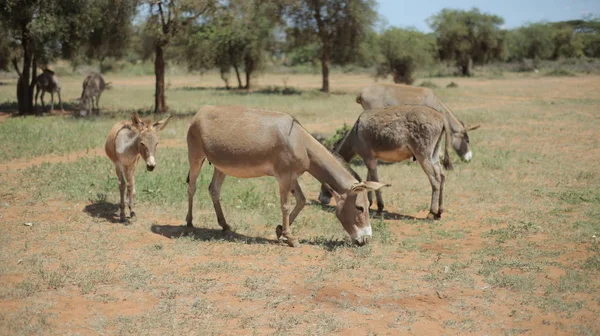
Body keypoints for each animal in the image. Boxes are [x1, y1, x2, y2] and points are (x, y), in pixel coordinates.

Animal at [185, 105, 386, 247]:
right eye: (360, 208)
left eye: (368, 206)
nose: (365, 240)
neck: (301, 142)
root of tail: (201, 111)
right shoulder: (284, 176)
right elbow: (286, 206)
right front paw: (291, 238)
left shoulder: (292, 176)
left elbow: (302, 201)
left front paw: (280, 230)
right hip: (195, 156)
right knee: (192, 187)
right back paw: (189, 223)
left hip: (220, 166)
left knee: (214, 190)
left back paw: (225, 226)